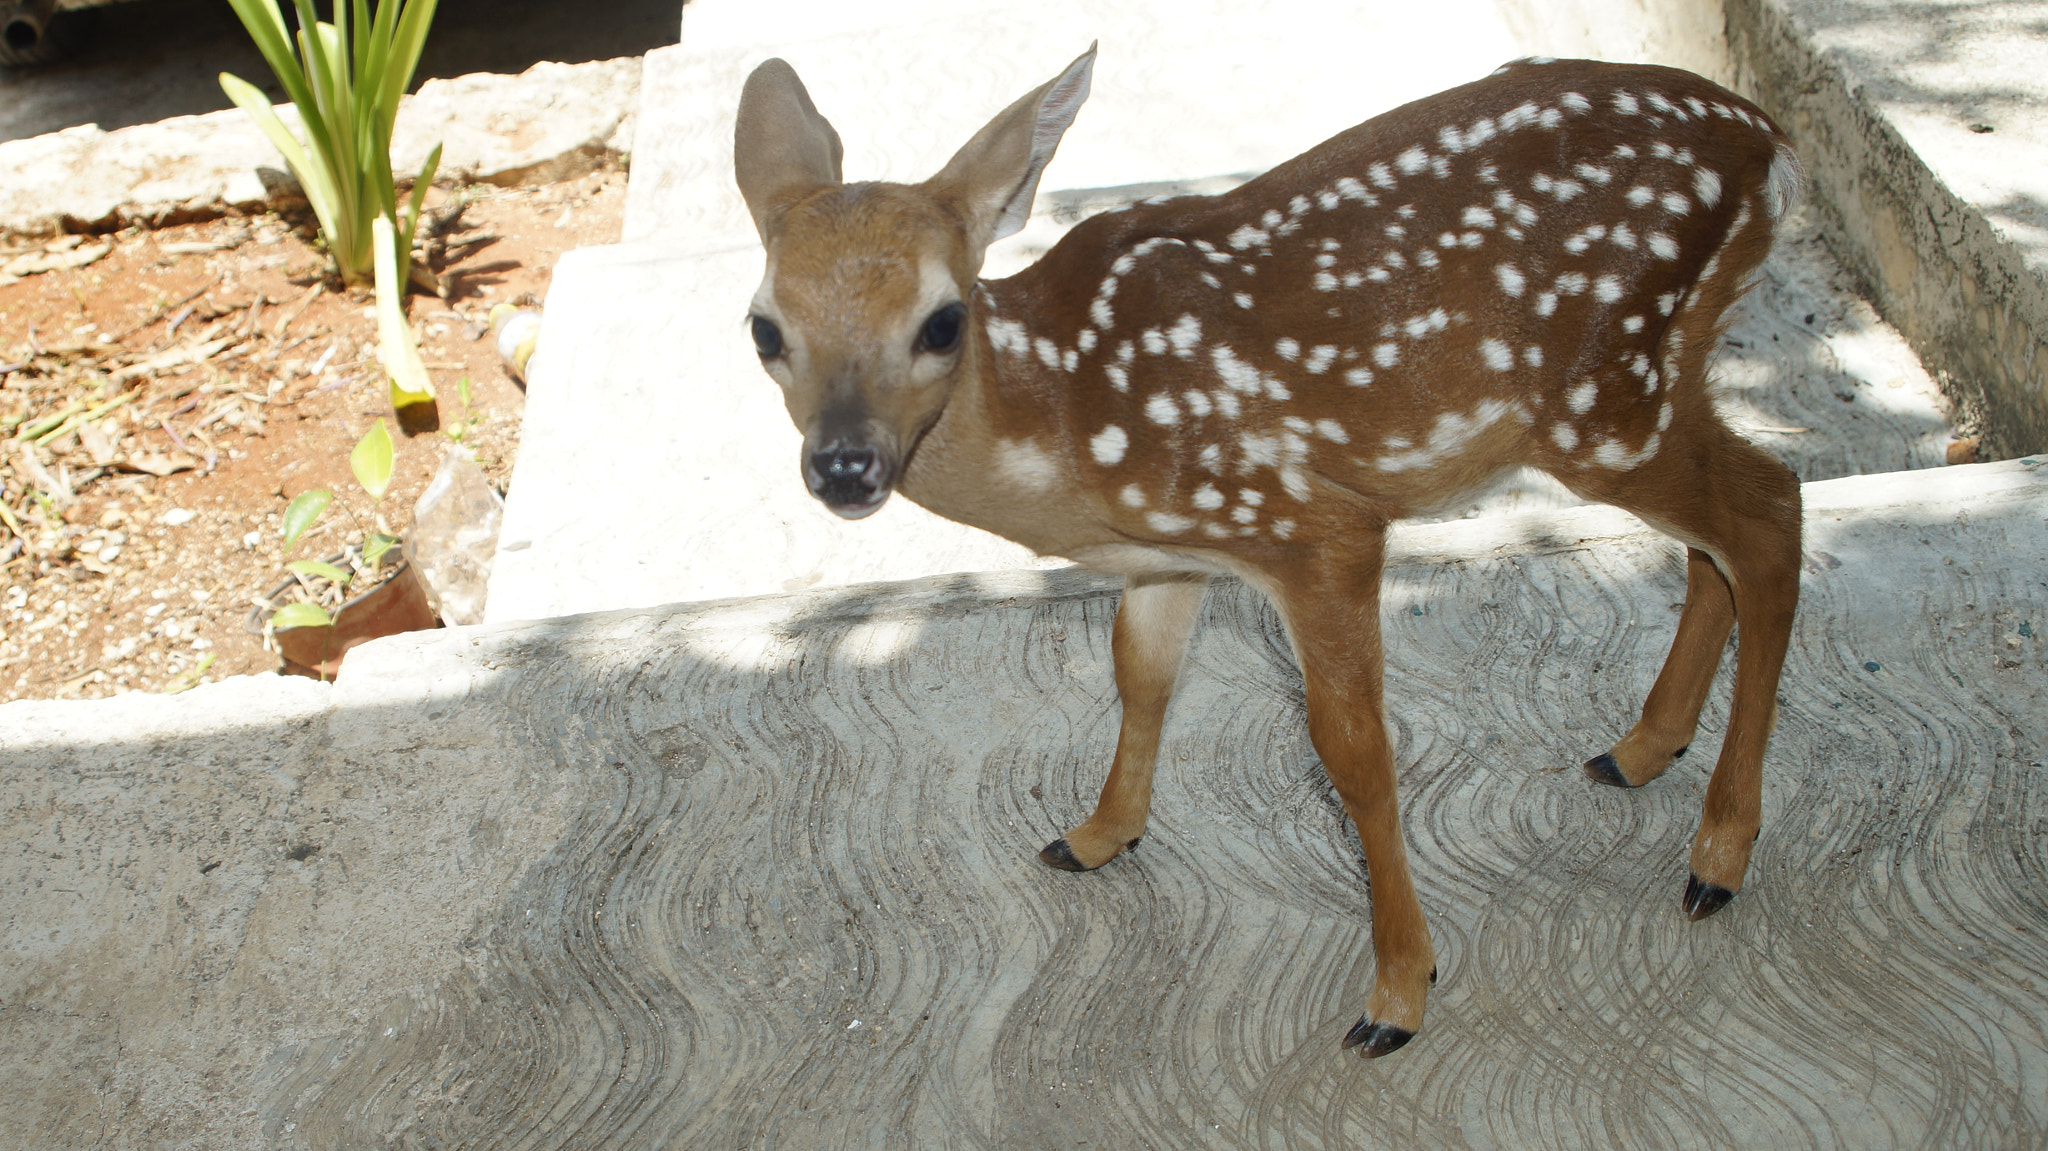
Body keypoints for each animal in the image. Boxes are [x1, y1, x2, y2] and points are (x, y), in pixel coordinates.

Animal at [737, 44, 1810, 1056]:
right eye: (763, 330)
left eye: (942, 321)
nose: (844, 465)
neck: (1069, 413)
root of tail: (1768, 139)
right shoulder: (1173, 553)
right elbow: (1140, 675)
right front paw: (1096, 835)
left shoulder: (1311, 525)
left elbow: (1353, 751)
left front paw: (1399, 992)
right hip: (1652, 383)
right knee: (1723, 535)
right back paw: (1639, 751)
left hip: (1603, 397)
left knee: (1769, 512)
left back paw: (1717, 856)